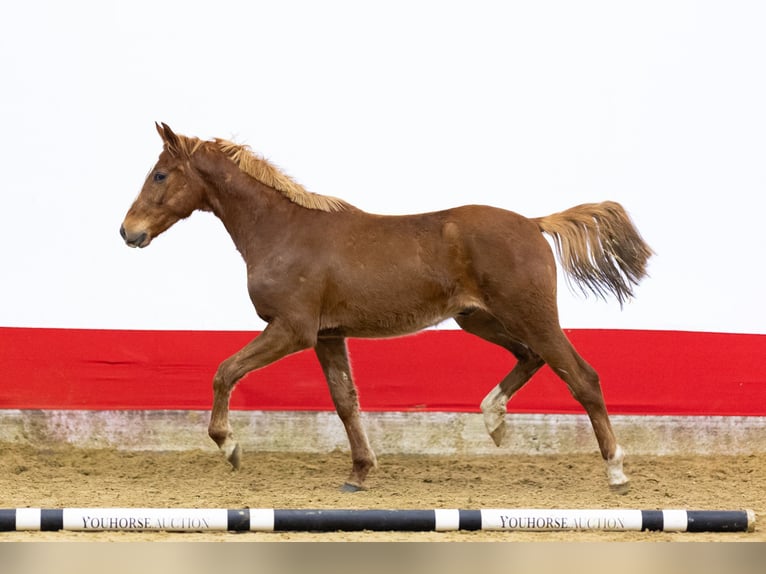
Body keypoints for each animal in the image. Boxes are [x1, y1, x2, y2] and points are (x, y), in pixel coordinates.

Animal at [120, 123, 653, 492]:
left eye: (160, 174)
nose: (128, 231)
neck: (283, 231)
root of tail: (534, 222)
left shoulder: (292, 330)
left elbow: (225, 371)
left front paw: (230, 447)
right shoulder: (329, 335)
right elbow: (345, 402)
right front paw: (358, 474)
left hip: (532, 315)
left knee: (582, 377)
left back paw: (616, 472)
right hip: (478, 318)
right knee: (531, 356)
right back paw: (494, 420)